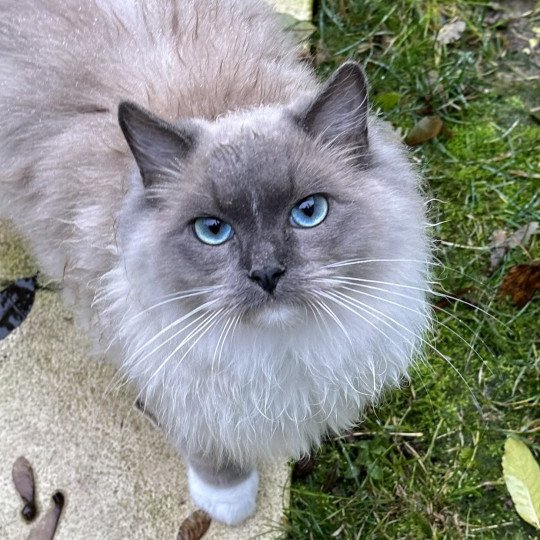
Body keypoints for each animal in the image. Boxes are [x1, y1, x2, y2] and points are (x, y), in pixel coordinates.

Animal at [0, 0, 430, 528]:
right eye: (212, 230)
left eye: (309, 212)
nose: (267, 274)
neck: (275, 353)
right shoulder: (172, 370)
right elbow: (211, 451)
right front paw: (229, 505)